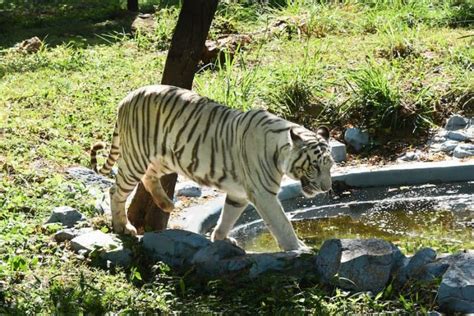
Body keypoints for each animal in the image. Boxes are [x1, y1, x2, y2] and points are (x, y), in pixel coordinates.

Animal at [90, 84, 334, 252]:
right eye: (314, 166)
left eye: (330, 166)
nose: (326, 188)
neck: (280, 149)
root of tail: (127, 97)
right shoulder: (264, 194)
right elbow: (282, 224)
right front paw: (299, 249)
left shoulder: (238, 193)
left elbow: (228, 217)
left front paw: (221, 239)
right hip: (136, 157)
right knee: (116, 190)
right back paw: (123, 227)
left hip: (166, 158)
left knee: (149, 177)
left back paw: (166, 204)